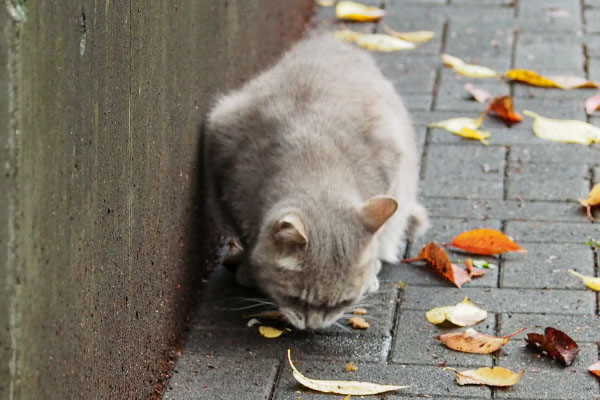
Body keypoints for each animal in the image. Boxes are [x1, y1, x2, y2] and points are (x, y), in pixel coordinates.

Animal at [206, 32, 426, 330]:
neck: (314, 155)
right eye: (296, 298)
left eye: (342, 303)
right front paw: (249, 270)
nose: (313, 326)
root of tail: (333, 39)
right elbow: (246, 236)